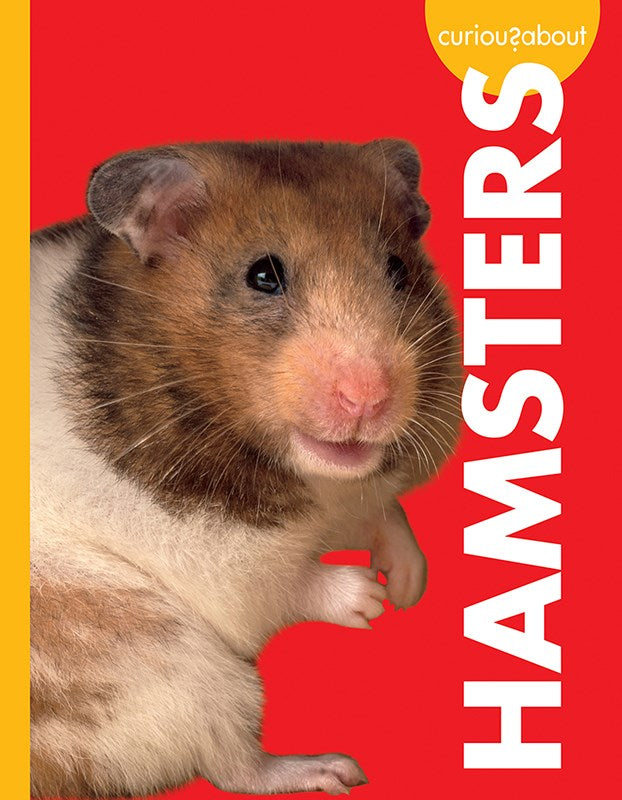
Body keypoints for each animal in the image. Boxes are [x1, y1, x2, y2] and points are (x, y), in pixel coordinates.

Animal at [30, 140, 461, 797]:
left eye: (398, 269)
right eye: (263, 276)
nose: (369, 399)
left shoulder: (353, 496)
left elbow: (385, 511)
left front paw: (408, 587)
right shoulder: (221, 559)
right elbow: (285, 583)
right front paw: (370, 600)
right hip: (164, 659)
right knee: (232, 764)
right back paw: (332, 768)